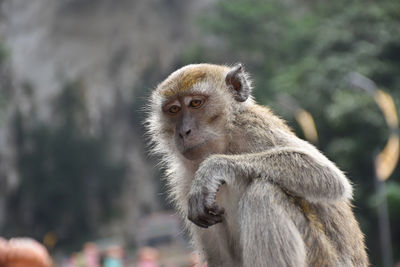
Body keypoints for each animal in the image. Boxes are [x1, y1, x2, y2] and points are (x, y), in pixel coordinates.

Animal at [146, 63, 368, 266]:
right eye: (173, 110)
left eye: (195, 103)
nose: (184, 132)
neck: (226, 142)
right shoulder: (182, 182)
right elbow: (222, 260)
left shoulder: (253, 128)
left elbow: (329, 178)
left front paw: (212, 168)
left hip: (321, 257)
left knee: (262, 193)